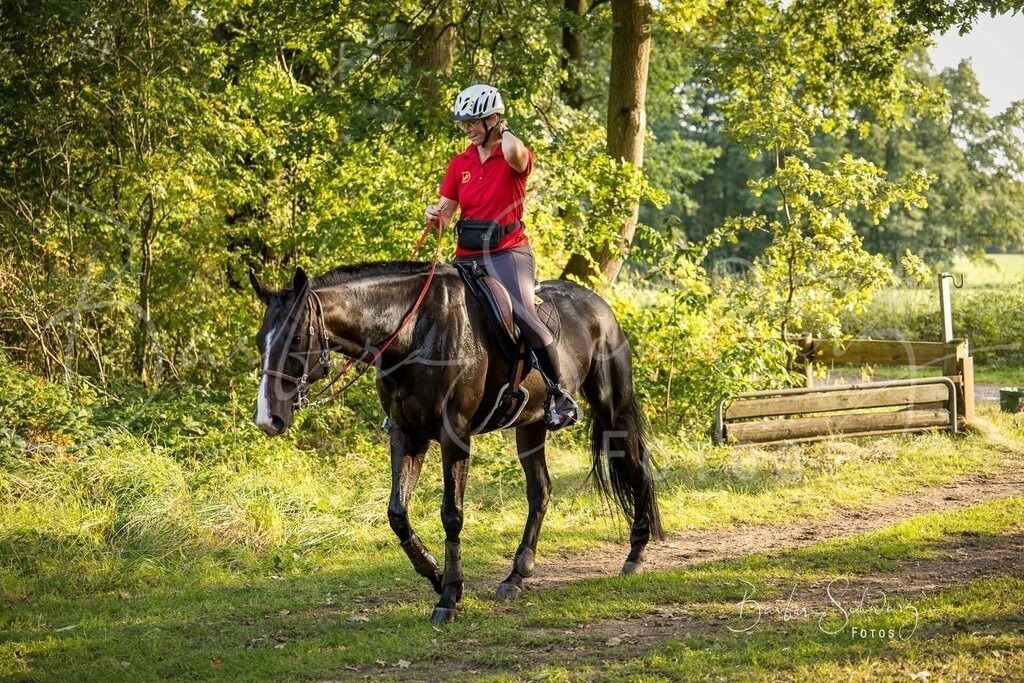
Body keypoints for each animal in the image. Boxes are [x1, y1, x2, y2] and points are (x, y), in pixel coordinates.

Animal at [249, 261, 662, 624]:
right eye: (259, 341)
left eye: (296, 338)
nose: (268, 419)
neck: (413, 334)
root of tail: (598, 304)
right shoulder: (406, 434)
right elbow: (397, 514)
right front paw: (435, 575)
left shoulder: (454, 436)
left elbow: (451, 515)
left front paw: (449, 596)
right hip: (530, 426)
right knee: (540, 490)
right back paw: (516, 576)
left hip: (611, 407)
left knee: (636, 467)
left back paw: (636, 554)